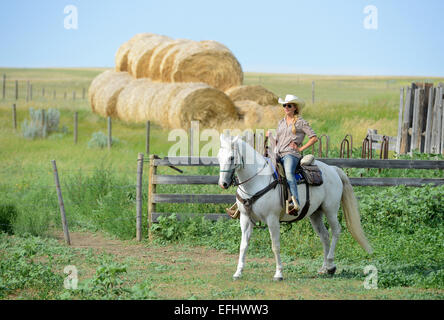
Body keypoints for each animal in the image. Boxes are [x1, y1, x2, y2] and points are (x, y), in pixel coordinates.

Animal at [217, 134, 372, 280]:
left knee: (336, 231)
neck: (257, 180)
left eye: (231, 157)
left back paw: (330, 265)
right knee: (324, 236)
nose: (223, 184)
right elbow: (243, 246)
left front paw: (278, 274)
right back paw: (324, 268)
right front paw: (238, 272)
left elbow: (275, 246)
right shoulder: (245, 219)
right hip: (316, 213)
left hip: (331, 210)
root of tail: (333, 170)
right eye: (218, 157)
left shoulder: (272, 219)